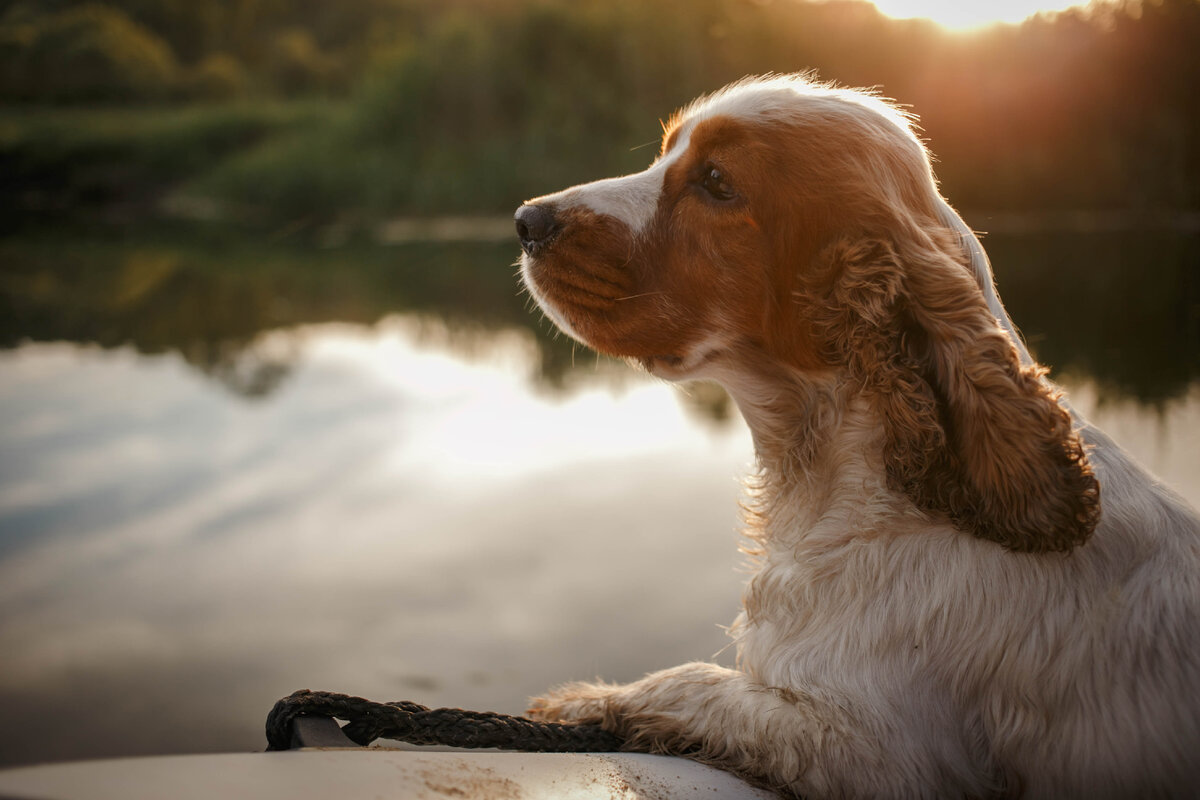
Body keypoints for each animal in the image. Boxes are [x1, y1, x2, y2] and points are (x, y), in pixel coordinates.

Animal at [511, 74, 1195, 800]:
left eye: (717, 181)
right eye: (667, 153)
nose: (527, 220)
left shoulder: (878, 754)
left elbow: (693, 681)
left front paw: (578, 700)